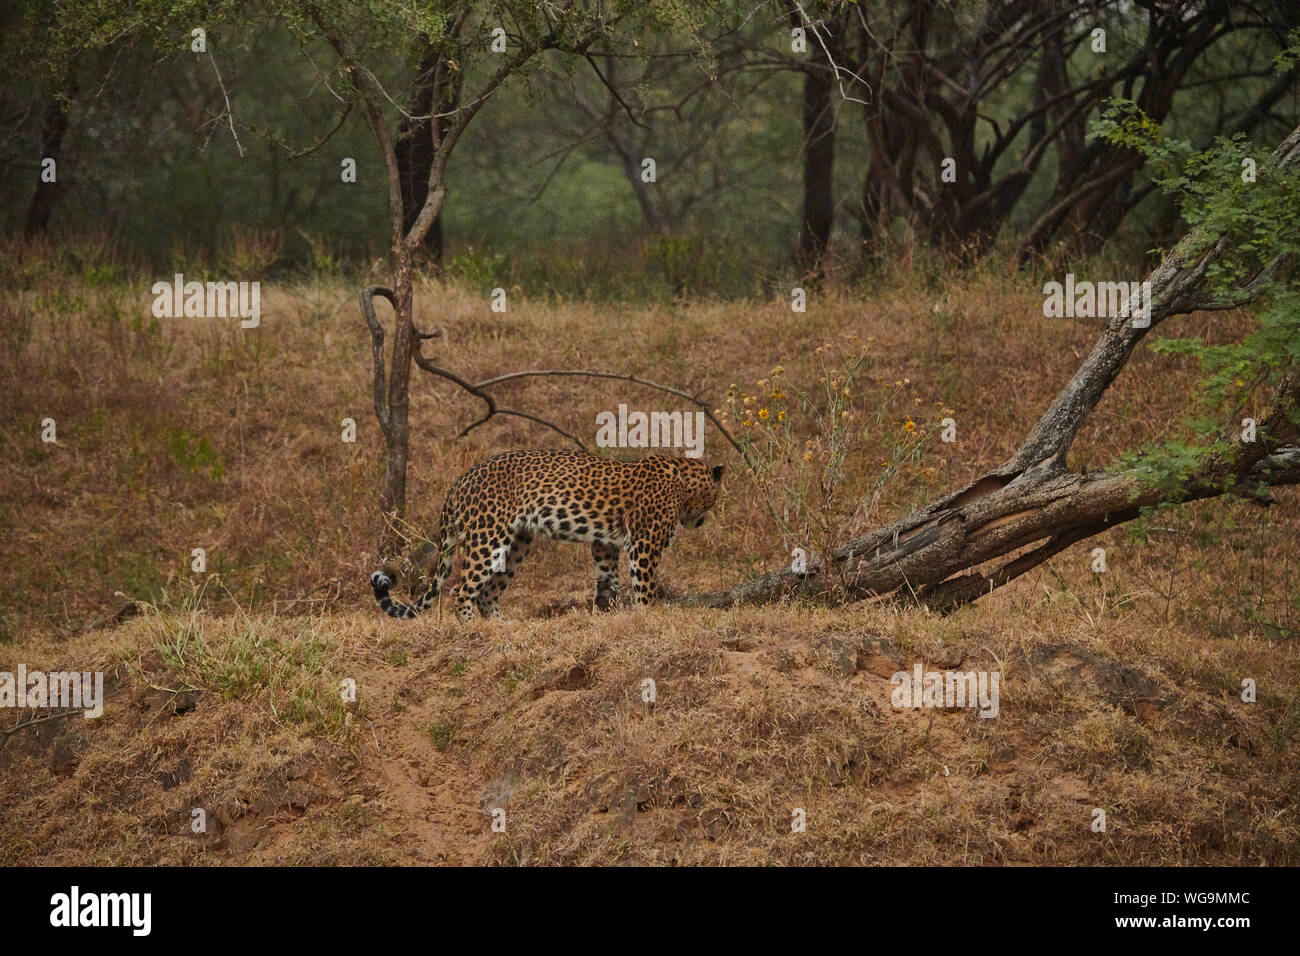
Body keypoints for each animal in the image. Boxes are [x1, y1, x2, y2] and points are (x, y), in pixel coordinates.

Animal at [371, 447, 728, 621]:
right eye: (715, 498)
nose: (702, 522)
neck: (684, 480)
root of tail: (462, 479)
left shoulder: (604, 545)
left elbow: (607, 581)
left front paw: (605, 613)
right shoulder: (645, 543)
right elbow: (646, 585)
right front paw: (650, 615)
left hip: (516, 545)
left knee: (487, 594)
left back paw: (502, 628)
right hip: (488, 537)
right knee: (461, 588)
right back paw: (471, 627)